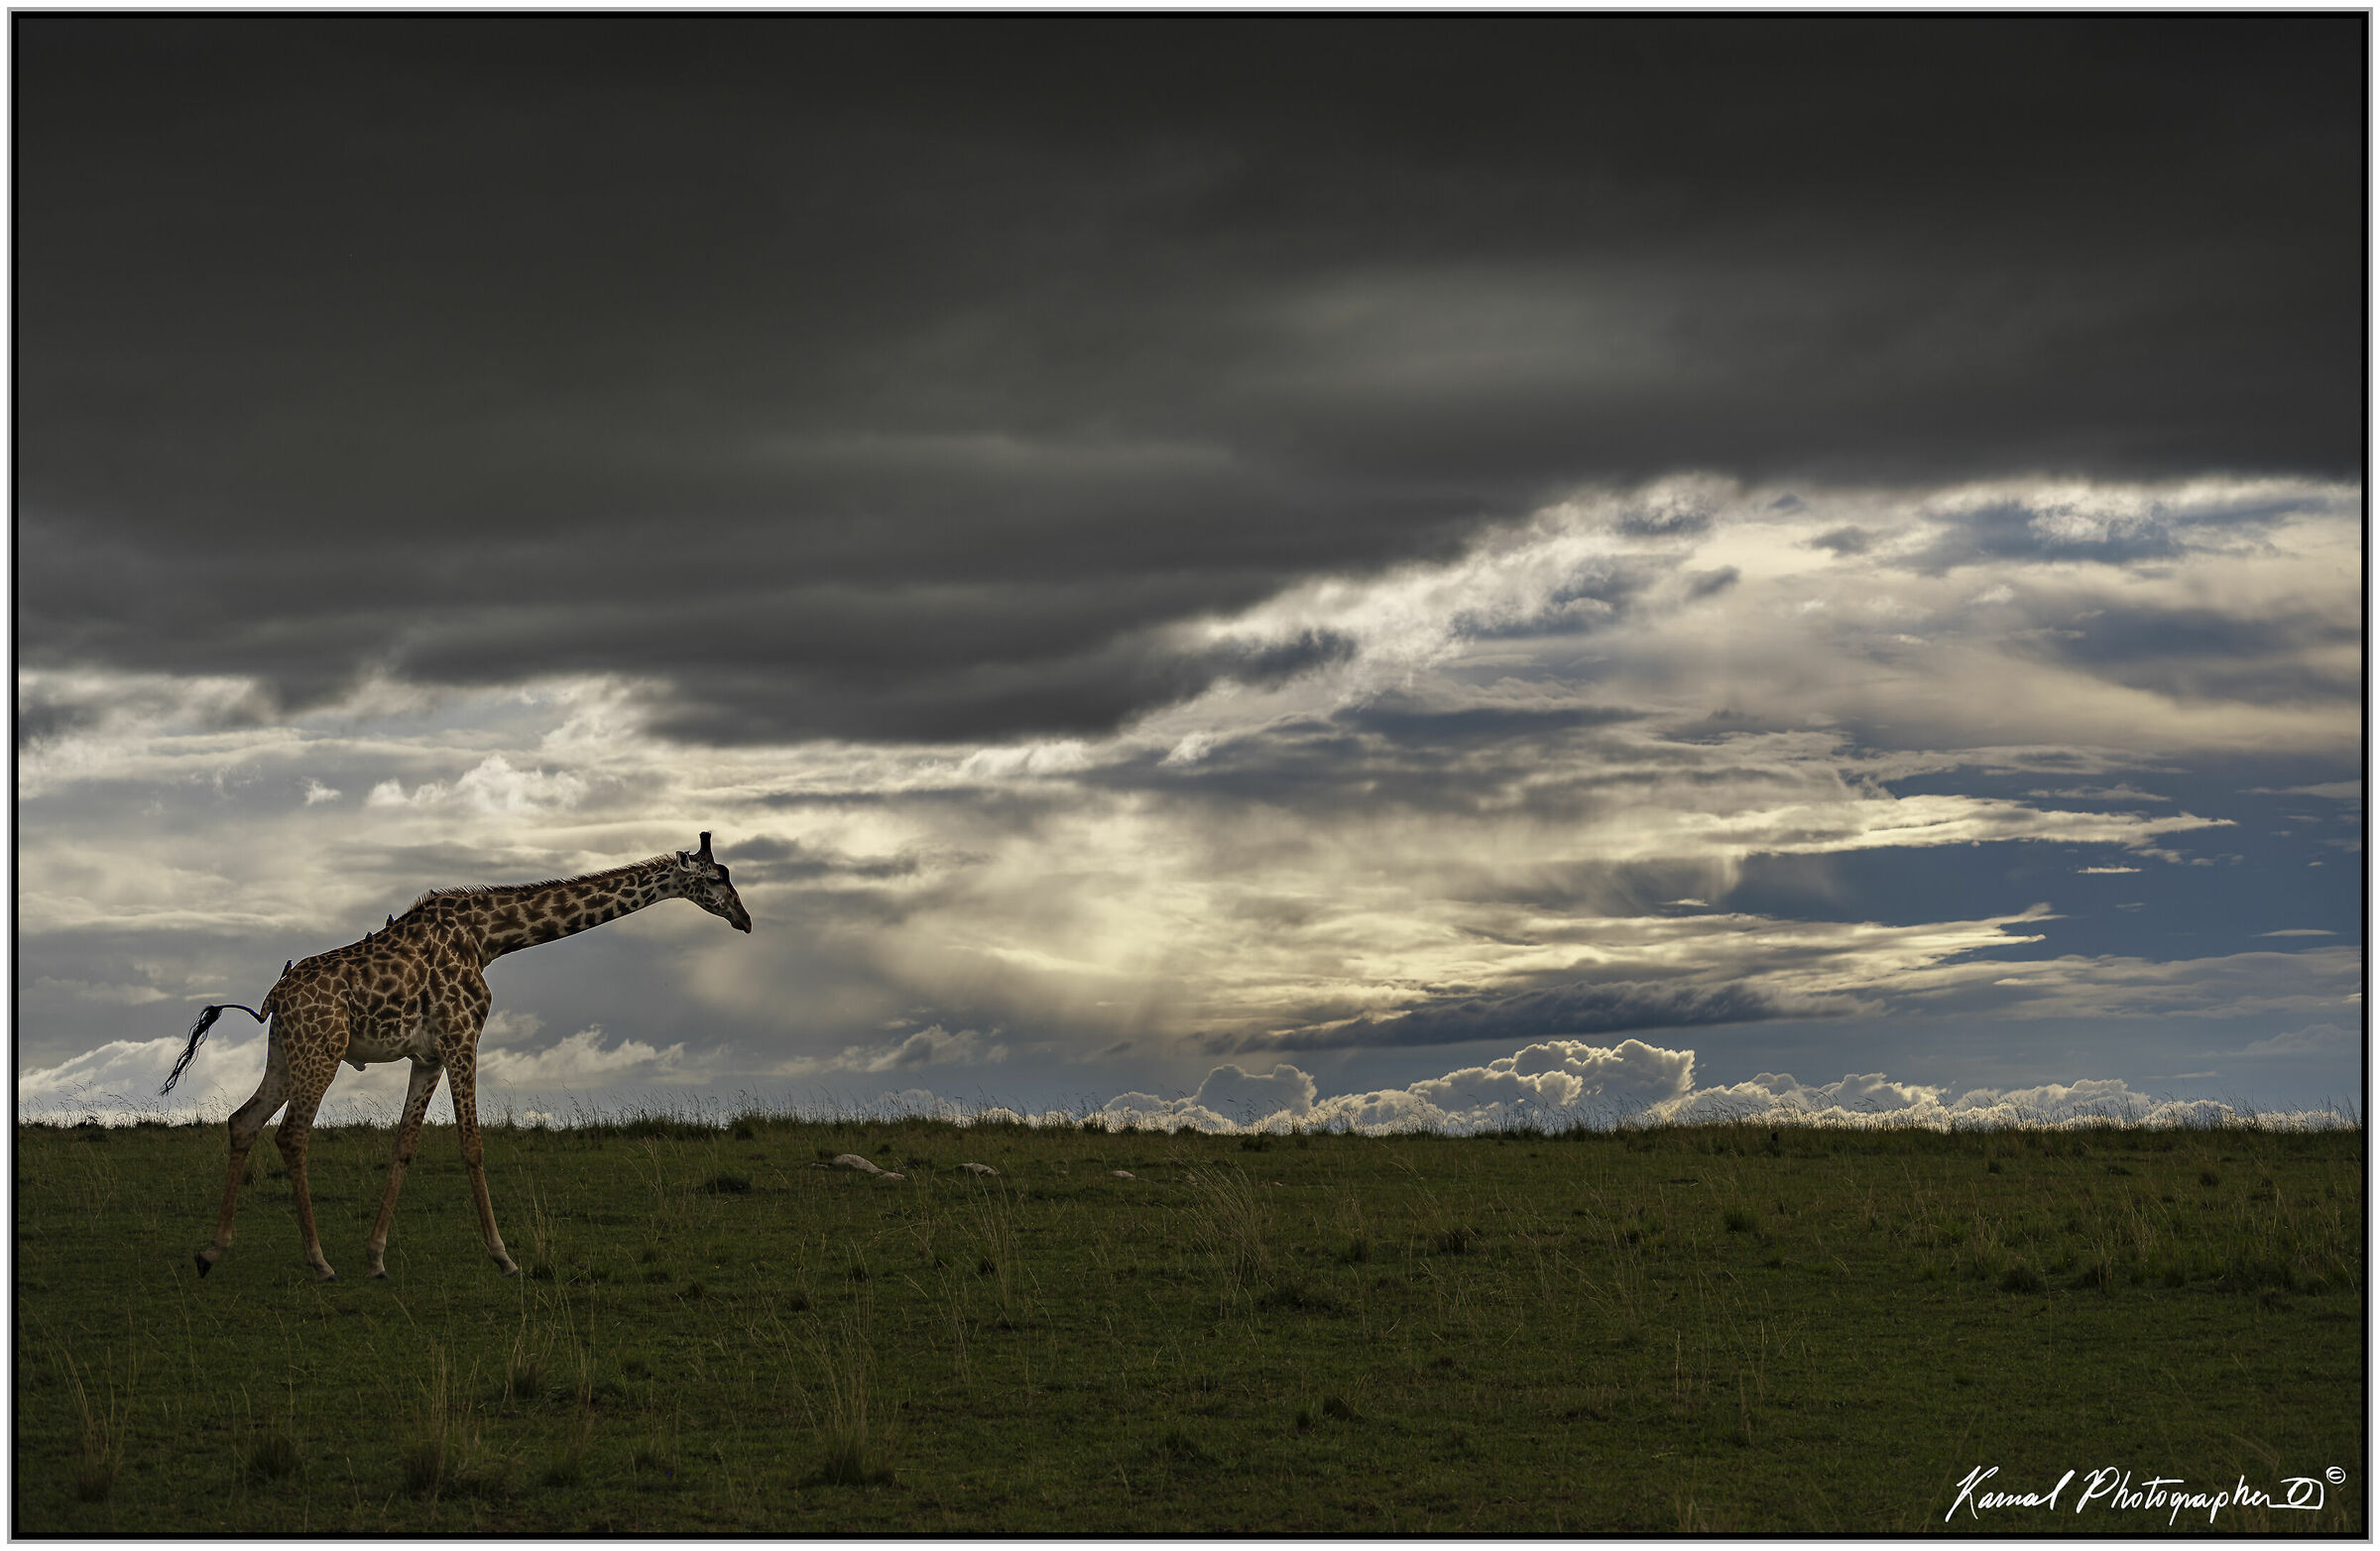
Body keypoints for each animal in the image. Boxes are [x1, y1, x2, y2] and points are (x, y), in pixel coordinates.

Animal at [162, 832, 752, 1282]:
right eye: (715, 880)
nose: (745, 920)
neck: (489, 937)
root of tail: (275, 998)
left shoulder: (427, 1055)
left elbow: (405, 1145)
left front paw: (376, 1259)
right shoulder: (463, 1036)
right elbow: (472, 1144)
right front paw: (504, 1257)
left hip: (285, 1054)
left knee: (243, 1122)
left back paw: (211, 1251)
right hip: (321, 1051)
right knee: (291, 1135)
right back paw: (319, 1262)